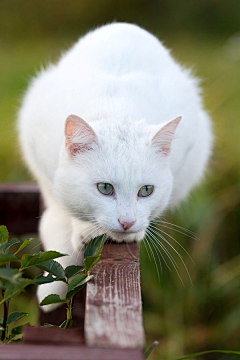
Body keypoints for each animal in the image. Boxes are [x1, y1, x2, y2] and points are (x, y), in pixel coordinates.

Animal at [17, 22, 213, 310]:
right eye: (105, 188)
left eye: (146, 190)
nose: (127, 222)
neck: (117, 110)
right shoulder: (37, 148)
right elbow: (59, 222)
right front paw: (51, 292)